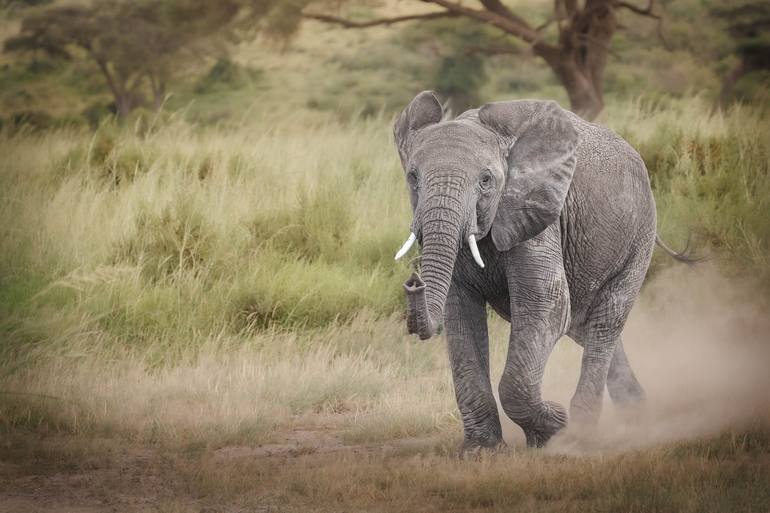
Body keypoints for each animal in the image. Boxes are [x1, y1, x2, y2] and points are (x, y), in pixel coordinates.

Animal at [392, 90, 688, 450]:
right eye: (413, 177)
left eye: (486, 180)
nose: (413, 282)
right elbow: (459, 314)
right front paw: (481, 451)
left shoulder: (537, 210)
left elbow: (546, 304)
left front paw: (553, 428)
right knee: (583, 327)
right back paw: (636, 414)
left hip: (639, 235)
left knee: (605, 322)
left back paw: (582, 434)